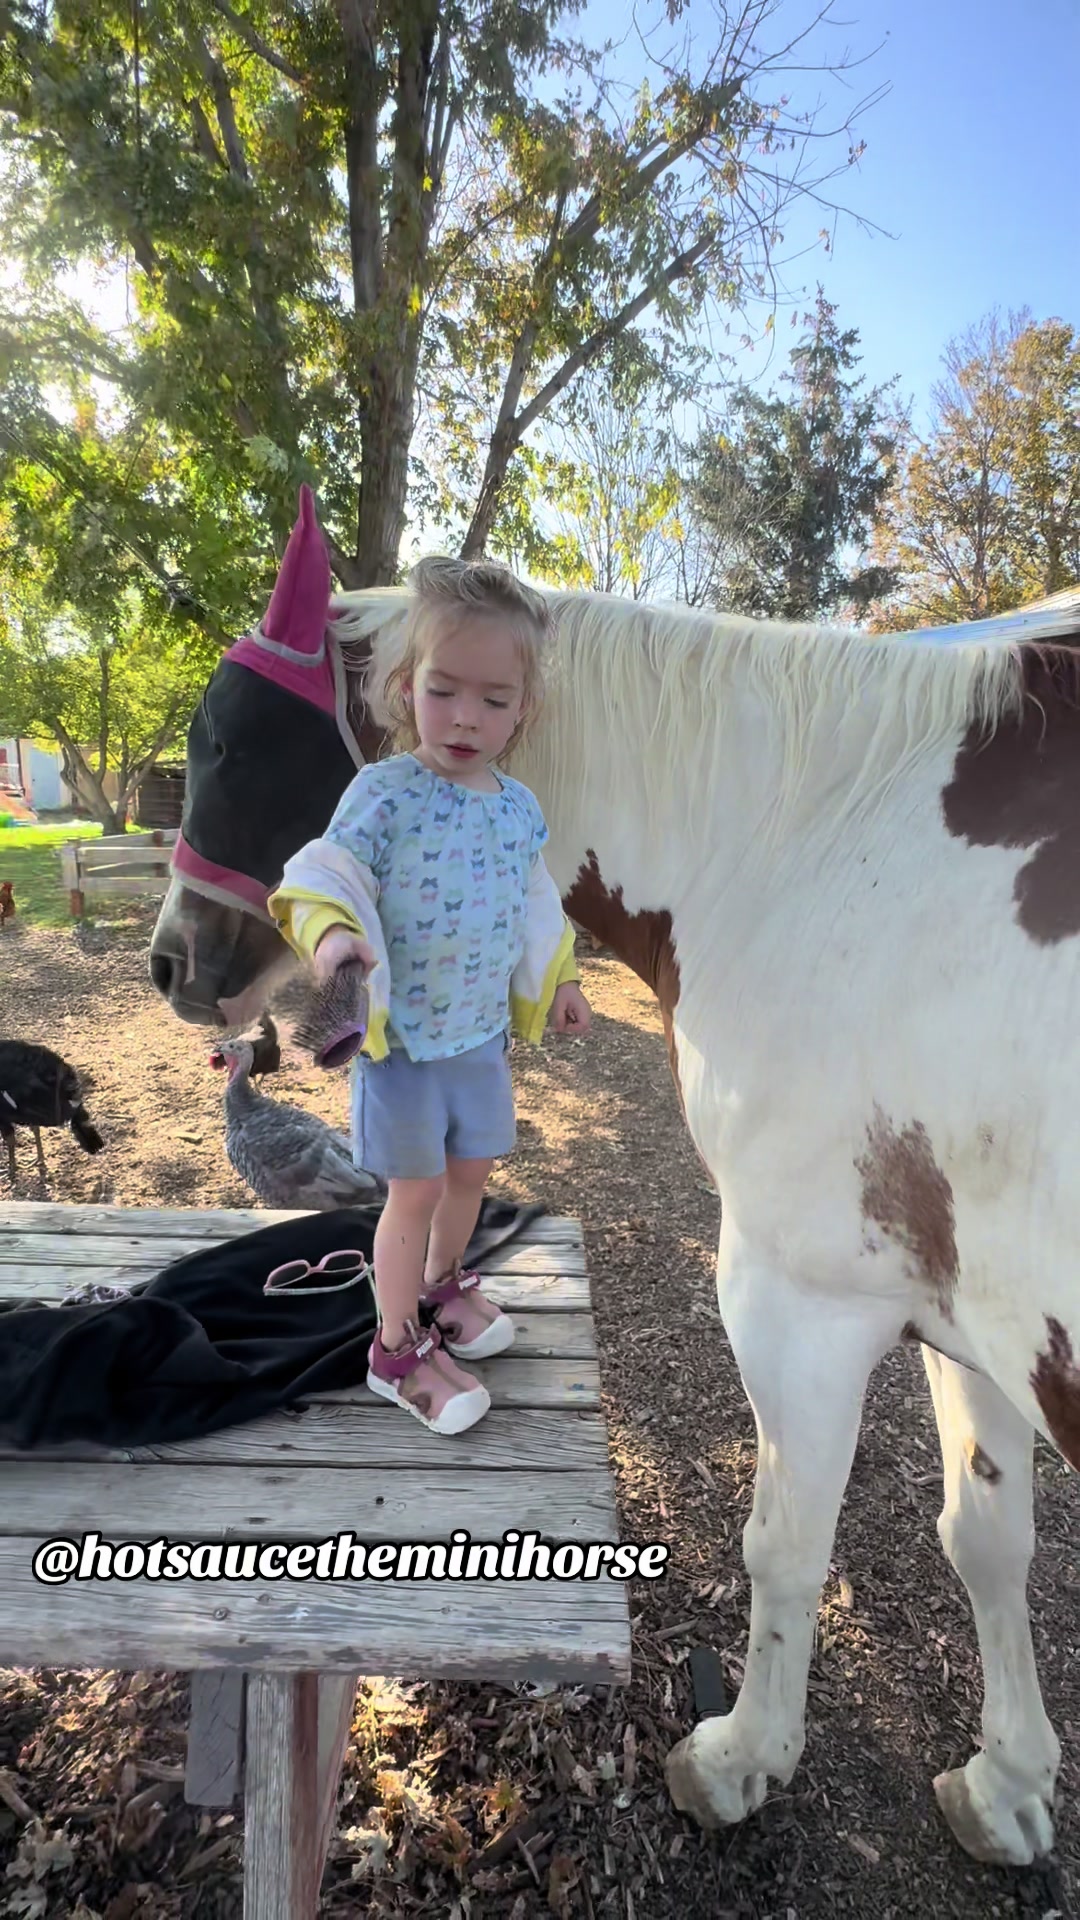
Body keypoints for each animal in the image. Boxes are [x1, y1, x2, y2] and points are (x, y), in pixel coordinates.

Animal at [150, 487, 1080, 1868]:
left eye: (225, 740)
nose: (171, 962)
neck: (824, 849)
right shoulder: (968, 1322)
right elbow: (988, 1541)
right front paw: (1007, 1782)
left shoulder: (803, 1305)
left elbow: (786, 1543)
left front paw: (740, 1760)